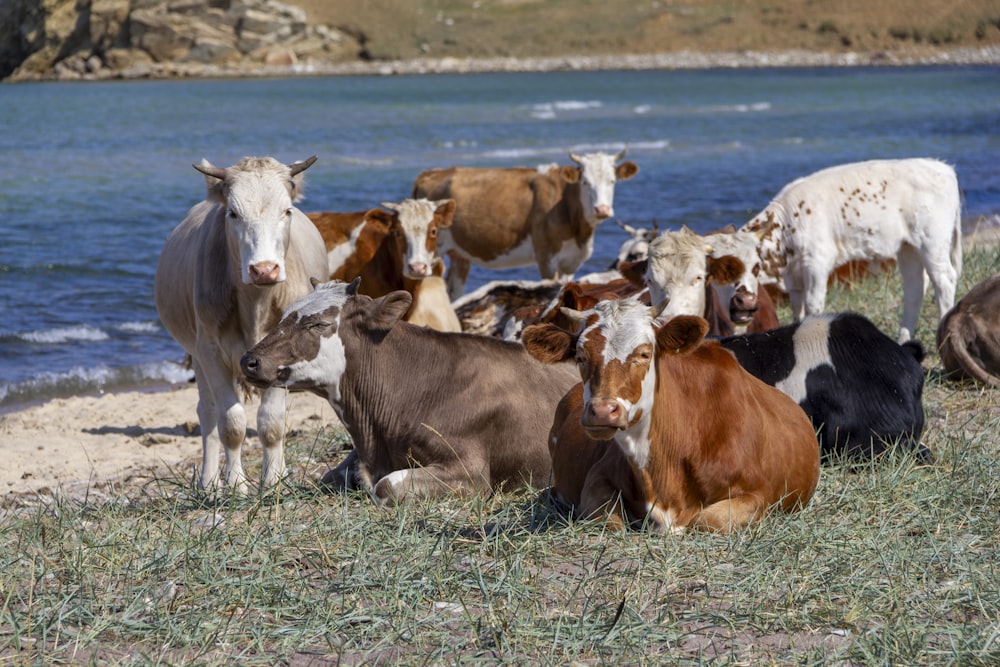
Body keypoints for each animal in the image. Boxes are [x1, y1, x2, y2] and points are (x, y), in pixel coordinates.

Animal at [154, 154, 328, 494]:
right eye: (233, 213)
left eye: (287, 210)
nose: (264, 269)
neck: (255, 305)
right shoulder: (209, 351)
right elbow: (231, 423)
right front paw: (234, 485)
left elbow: (272, 422)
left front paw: (273, 482)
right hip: (197, 355)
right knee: (207, 413)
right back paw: (208, 483)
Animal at [524, 300, 820, 536]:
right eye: (580, 356)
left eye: (644, 353)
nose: (602, 411)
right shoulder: (597, 476)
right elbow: (610, 519)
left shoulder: (758, 493)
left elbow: (708, 519)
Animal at [744, 159, 960, 342]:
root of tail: (943, 167)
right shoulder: (794, 277)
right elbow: (797, 308)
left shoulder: (816, 262)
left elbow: (813, 303)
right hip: (908, 247)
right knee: (915, 288)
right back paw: (903, 340)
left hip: (932, 241)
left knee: (945, 280)